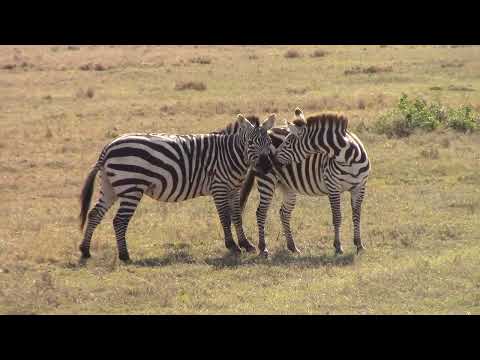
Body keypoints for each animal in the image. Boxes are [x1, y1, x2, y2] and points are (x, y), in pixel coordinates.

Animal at [77, 114, 276, 262]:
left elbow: (237, 217)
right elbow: (225, 218)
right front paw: (232, 246)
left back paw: (85, 250)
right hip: (131, 188)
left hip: (109, 186)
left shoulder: (233, 189)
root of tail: (109, 146)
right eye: (251, 143)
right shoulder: (219, 188)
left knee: (94, 214)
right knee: (119, 220)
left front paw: (246, 244)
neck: (229, 154)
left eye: (269, 142)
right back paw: (125, 256)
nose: (267, 166)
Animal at [240, 107, 372, 256]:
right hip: (266, 181)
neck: (349, 160)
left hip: (288, 186)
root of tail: (268, 131)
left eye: (288, 144)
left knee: (284, 213)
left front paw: (359, 245)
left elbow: (357, 215)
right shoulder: (333, 187)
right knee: (261, 213)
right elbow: (337, 217)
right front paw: (338, 246)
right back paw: (263, 248)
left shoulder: (360, 188)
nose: (271, 160)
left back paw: (292, 247)